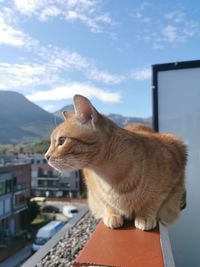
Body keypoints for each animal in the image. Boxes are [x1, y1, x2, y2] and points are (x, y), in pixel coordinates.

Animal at [45, 95, 186, 231]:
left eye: (62, 140)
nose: (46, 156)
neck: (111, 177)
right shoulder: (93, 189)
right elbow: (105, 202)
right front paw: (112, 214)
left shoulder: (171, 177)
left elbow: (154, 200)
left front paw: (145, 215)